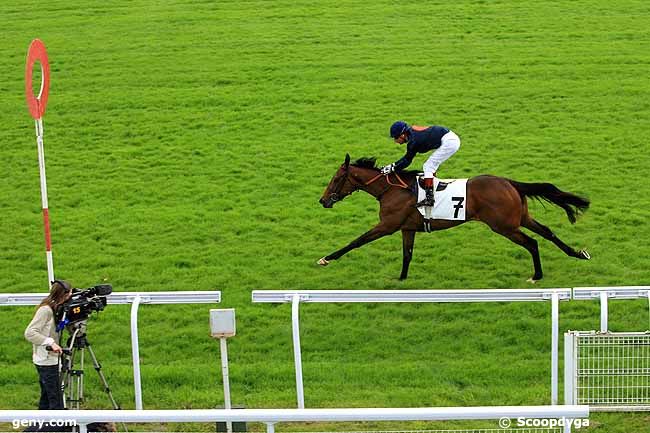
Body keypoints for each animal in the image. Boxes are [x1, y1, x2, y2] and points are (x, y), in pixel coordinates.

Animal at [316, 154, 588, 282]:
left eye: (336, 179)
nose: (323, 200)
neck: (391, 189)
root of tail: (510, 182)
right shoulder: (407, 228)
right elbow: (407, 254)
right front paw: (402, 279)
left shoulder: (387, 225)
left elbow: (357, 241)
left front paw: (326, 258)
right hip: (519, 218)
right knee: (547, 231)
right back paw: (578, 253)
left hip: (504, 226)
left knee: (532, 242)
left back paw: (537, 275)